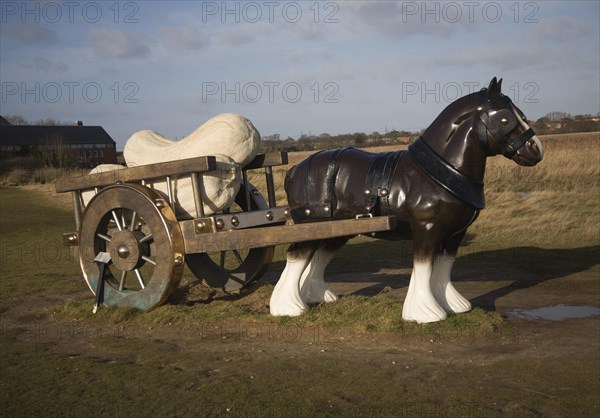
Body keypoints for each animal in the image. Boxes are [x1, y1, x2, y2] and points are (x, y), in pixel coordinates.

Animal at [270, 78, 544, 324]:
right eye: (505, 119)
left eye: (521, 114)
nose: (536, 149)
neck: (439, 171)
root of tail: (294, 169)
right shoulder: (426, 228)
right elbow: (424, 267)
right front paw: (425, 312)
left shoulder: (455, 233)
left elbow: (444, 267)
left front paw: (452, 304)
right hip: (310, 225)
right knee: (297, 256)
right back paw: (288, 306)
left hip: (336, 229)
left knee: (318, 257)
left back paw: (315, 296)